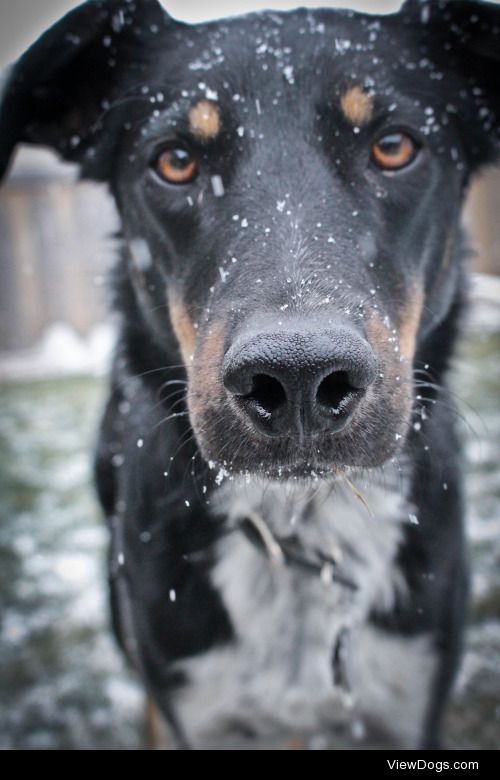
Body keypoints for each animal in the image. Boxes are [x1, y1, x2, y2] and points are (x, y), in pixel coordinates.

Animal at [1, 0, 498, 748]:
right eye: (176, 161)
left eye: (394, 146)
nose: (298, 379)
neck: (301, 528)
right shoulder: (191, 710)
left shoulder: (411, 706)